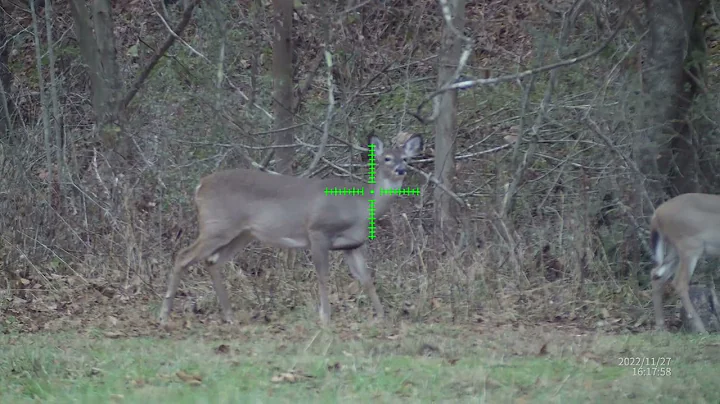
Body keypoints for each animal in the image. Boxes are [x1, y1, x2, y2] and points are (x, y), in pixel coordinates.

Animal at [158, 133, 423, 326]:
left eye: (406, 158)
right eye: (386, 158)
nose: (401, 170)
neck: (360, 205)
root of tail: (199, 186)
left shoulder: (353, 245)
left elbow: (366, 278)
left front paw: (382, 317)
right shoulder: (317, 232)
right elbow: (323, 276)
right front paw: (325, 317)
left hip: (242, 233)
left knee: (212, 261)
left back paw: (230, 316)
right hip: (217, 225)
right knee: (183, 256)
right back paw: (164, 315)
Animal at [650, 193, 720, 333]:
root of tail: (656, 215)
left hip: (675, 250)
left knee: (656, 274)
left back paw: (661, 326)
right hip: (690, 247)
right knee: (679, 283)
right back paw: (701, 329)